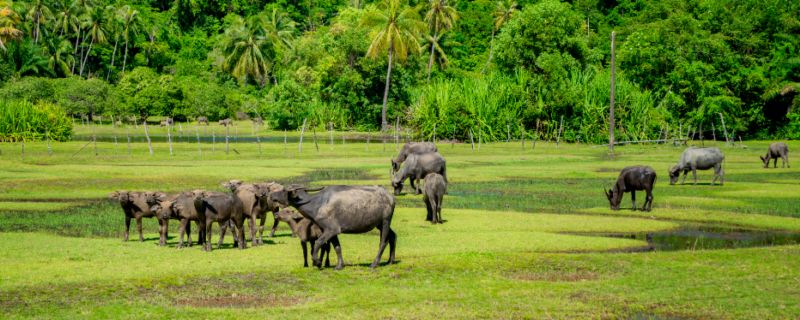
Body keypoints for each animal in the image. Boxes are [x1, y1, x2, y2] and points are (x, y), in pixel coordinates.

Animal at [268, 185, 396, 270]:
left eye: (284, 190)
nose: (271, 195)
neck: (317, 205)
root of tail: (391, 197)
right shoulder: (332, 232)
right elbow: (337, 247)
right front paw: (339, 265)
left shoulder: (331, 229)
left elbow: (318, 243)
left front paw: (318, 262)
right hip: (379, 224)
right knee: (393, 236)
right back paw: (390, 260)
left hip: (385, 221)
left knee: (383, 241)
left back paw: (374, 263)